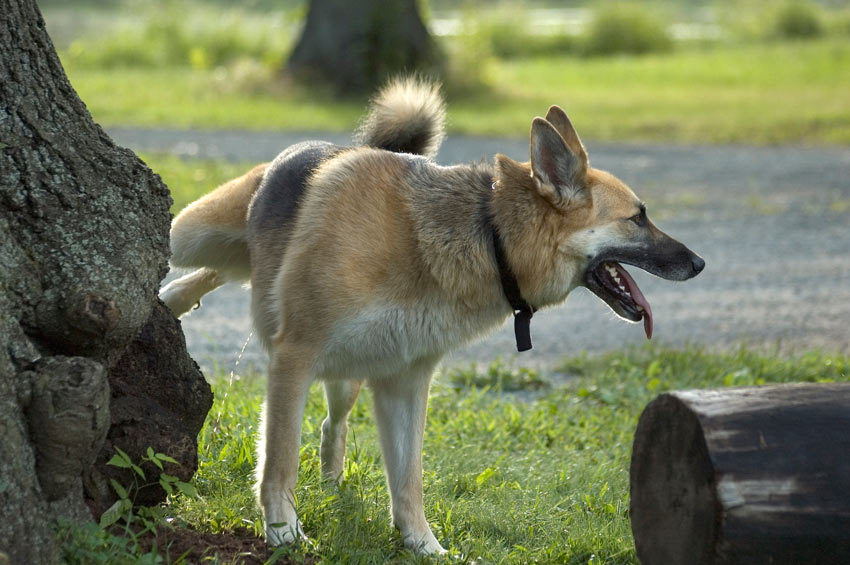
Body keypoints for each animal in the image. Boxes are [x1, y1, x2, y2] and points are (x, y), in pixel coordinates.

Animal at [159, 77, 704, 552]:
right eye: (638, 218)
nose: (699, 264)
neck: (487, 235)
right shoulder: (294, 358)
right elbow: (280, 460)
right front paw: (284, 533)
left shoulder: (404, 380)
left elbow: (407, 480)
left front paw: (422, 545)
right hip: (195, 233)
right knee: (203, 259)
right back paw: (170, 295)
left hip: (348, 374)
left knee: (332, 424)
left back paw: (332, 482)